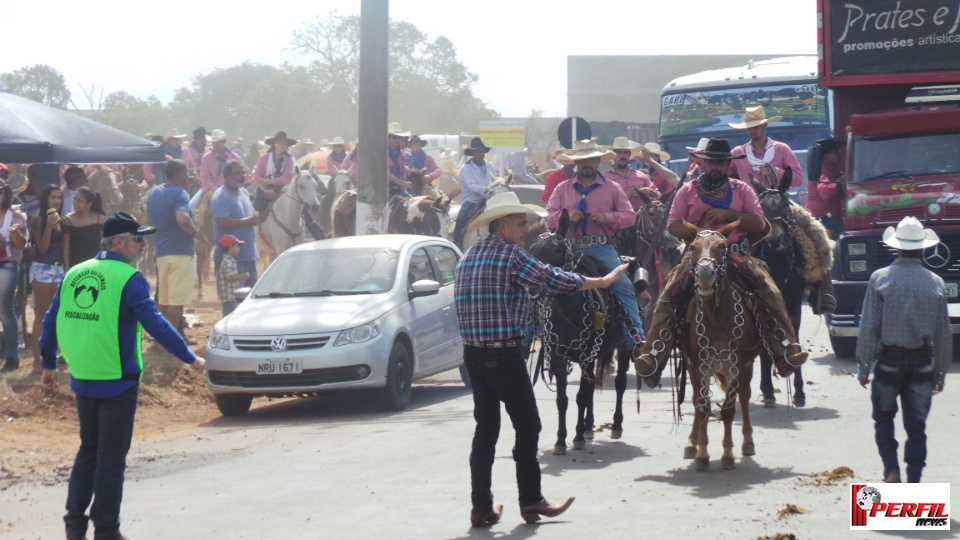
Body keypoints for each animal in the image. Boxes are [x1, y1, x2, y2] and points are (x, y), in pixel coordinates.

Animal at [524, 211, 632, 456]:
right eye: (532, 249)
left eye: (556, 250)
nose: (532, 287)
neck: (570, 309)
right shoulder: (558, 357)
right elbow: (563, 400)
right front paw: (560, 440)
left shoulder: (586, 356)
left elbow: (581, 396)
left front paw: (577, 437)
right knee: (591, 386)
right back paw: (589, 426)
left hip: (622, 347)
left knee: (619, 383)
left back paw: (616, 425)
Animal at [684, 230, 804, 470]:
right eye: (692, 247)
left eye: (722, 246)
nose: (704, 274)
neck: (717, 317)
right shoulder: (698, 364)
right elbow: (702, 406)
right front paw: (701, 452)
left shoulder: (738, 364)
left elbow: (730, 409)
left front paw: (728, 454)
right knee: (697, 401)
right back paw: (692, 443)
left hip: (746, 366)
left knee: (745, 396)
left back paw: (748, 442)